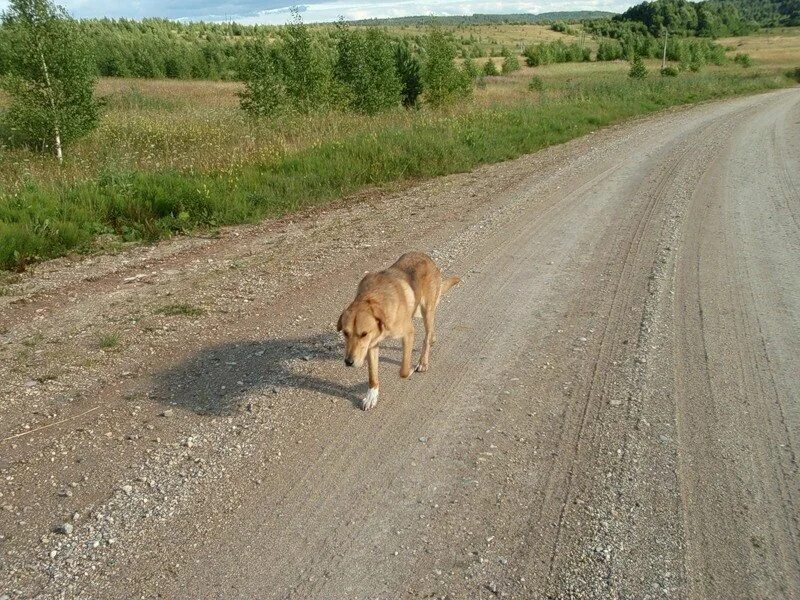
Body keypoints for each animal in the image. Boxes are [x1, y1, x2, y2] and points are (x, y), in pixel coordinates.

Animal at [338, 251, 460, 410]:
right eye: (345, 333)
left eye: (364, 334)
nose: (348, 362)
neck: (373, 298)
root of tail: (426, 257)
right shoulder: (372, 345)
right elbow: (372, 375)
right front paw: (371, 396)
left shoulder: (408, 333)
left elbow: (403, 371)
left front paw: (409, 371)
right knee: (430, 335)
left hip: (426, 311)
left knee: (426, 337)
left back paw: (423, 362)